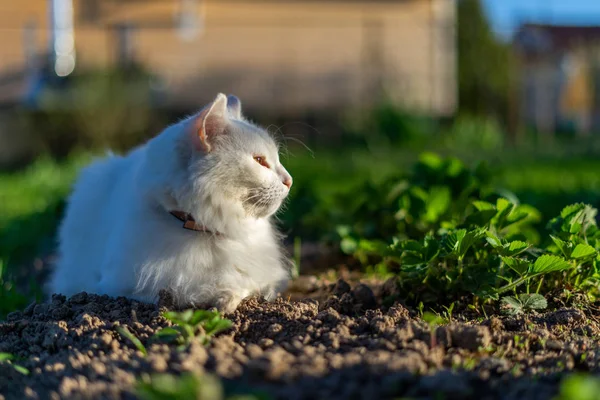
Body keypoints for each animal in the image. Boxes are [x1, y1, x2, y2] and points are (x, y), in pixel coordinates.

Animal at [50, 94, 294, 312]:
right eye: (260, 161)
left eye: (276, 160)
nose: (289, 180)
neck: (203, 229)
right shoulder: (121, 288)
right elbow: (184, 292)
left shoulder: (265, 277)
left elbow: (247, 285)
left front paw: (225, 301)